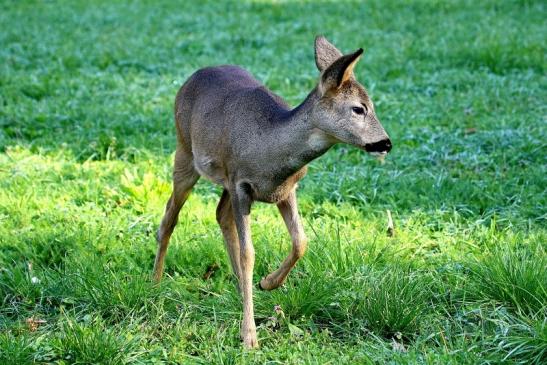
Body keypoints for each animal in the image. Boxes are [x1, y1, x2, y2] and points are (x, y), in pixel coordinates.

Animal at [154, 36, 392, 346]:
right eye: (359, 108)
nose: (385, 143)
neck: (270, 150)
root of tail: (194, 75)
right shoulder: (241, 185)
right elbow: (249, 254)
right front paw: (249, 337)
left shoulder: (285, 189)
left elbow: (301, 241)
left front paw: (267, 283)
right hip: (184, 151)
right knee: (170, 216)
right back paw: (155, 283)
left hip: (222, 180)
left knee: (220, 215)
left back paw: (238, 287)